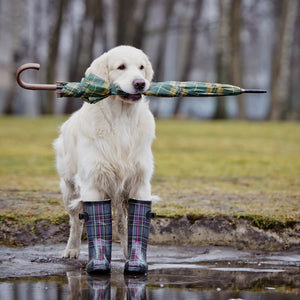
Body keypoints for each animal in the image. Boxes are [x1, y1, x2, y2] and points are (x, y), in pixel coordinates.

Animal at [54, 45, 156, 258]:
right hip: (69, 188)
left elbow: (131, 225)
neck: (122, 119)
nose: (140, 83)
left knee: (121, 224)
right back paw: (72, 249)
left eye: (141, 67)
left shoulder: (139, 182)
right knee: (75, 221)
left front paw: (134, 258)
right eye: (121, 67)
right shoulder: (93, 183)